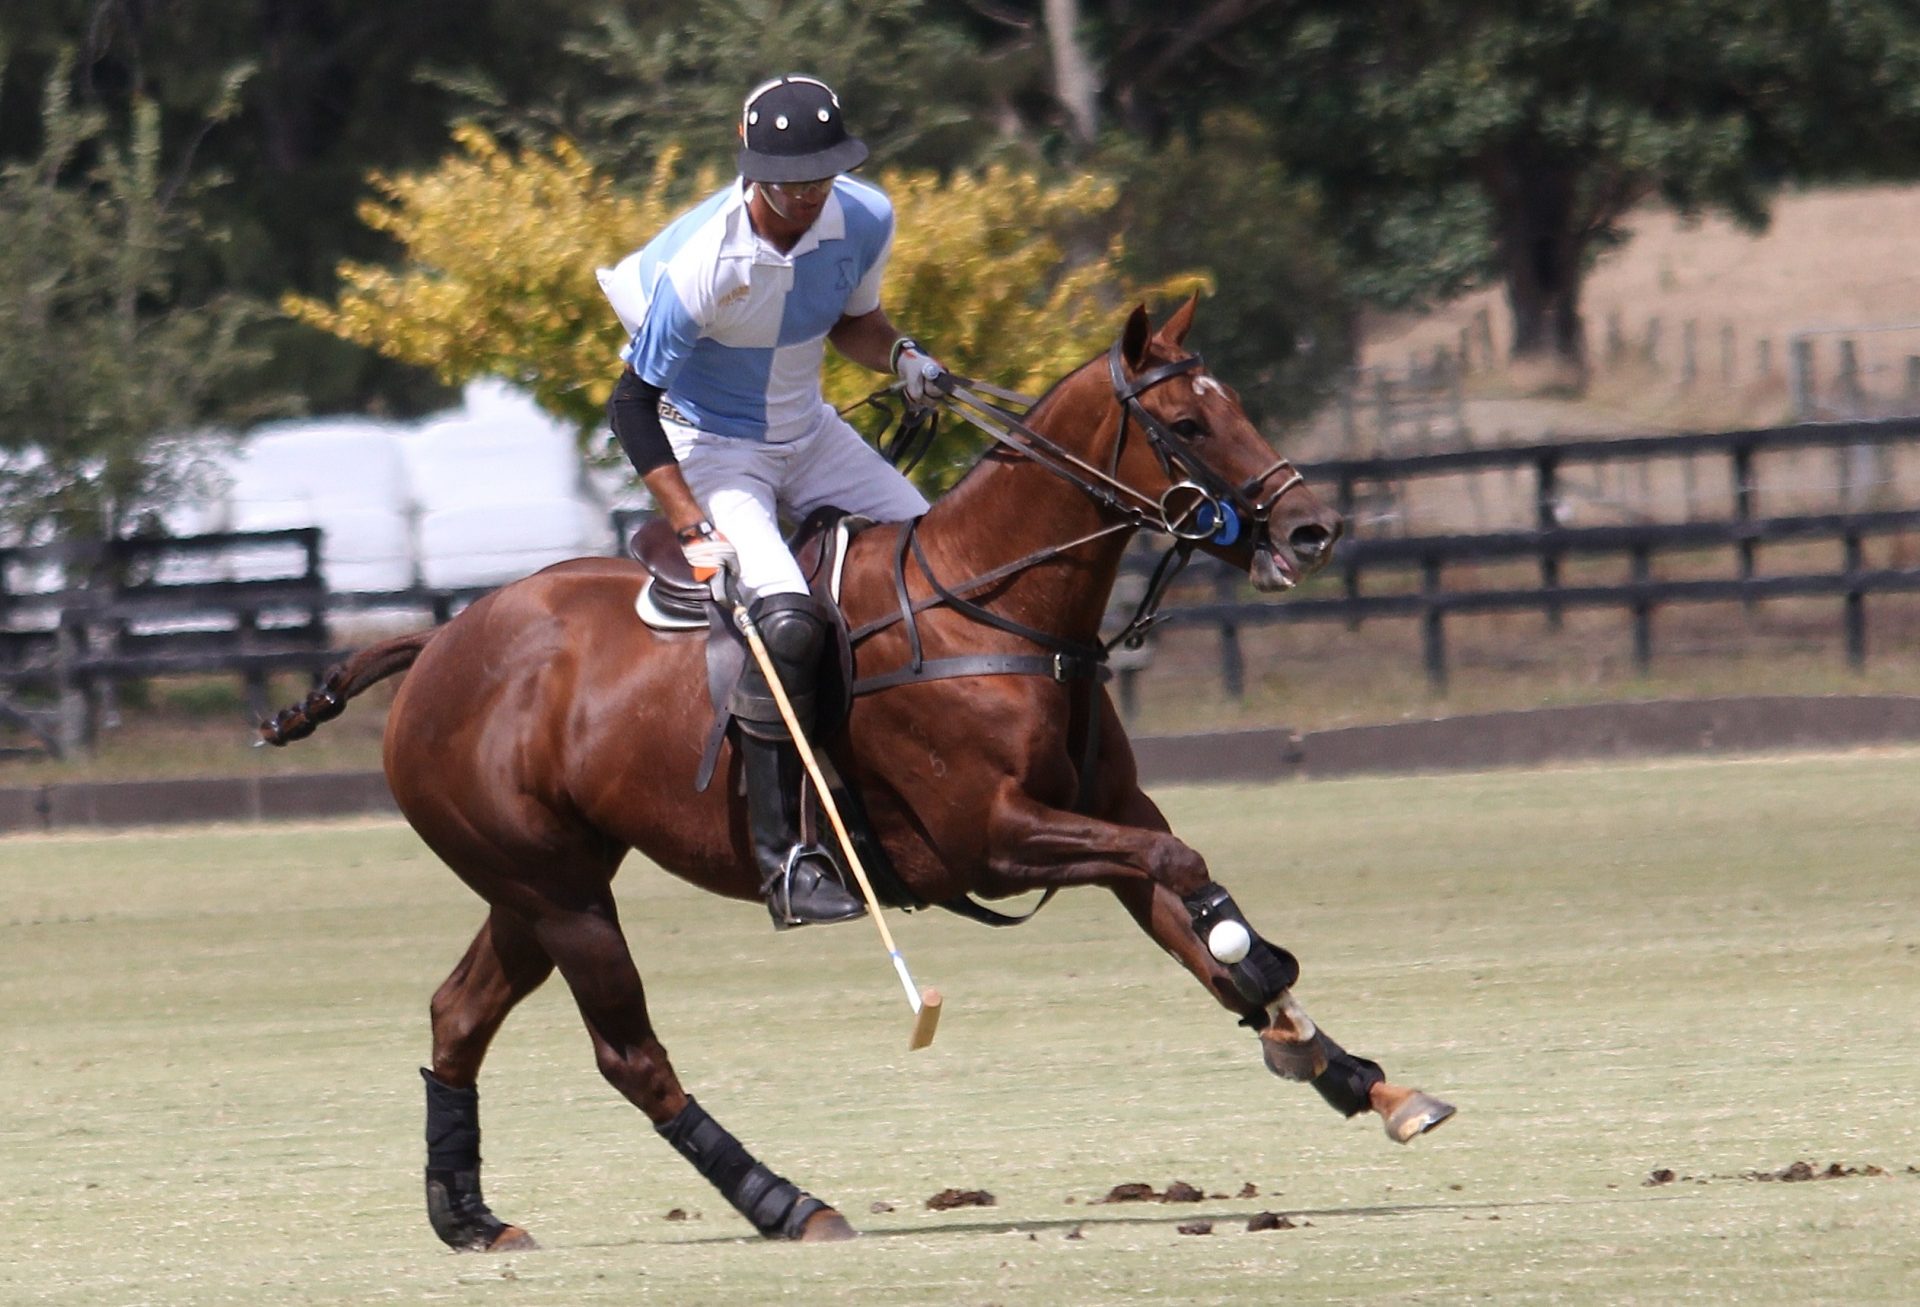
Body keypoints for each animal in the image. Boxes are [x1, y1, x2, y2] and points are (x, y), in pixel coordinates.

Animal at [263, 301, 1443, 1251]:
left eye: (1232, 403)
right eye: (1189, 424)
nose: (1313, 526)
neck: (995, 607)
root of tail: (437, 641)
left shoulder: (1101, 812)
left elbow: (1188, 909)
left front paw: (1359, 1075)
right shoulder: (992, 836)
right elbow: (1187, 868)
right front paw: (1277, 986)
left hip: (537, 878)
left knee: (457, 1014)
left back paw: (468, 1216)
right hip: (561, 891)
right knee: (628, 1053)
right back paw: (785, 1201)